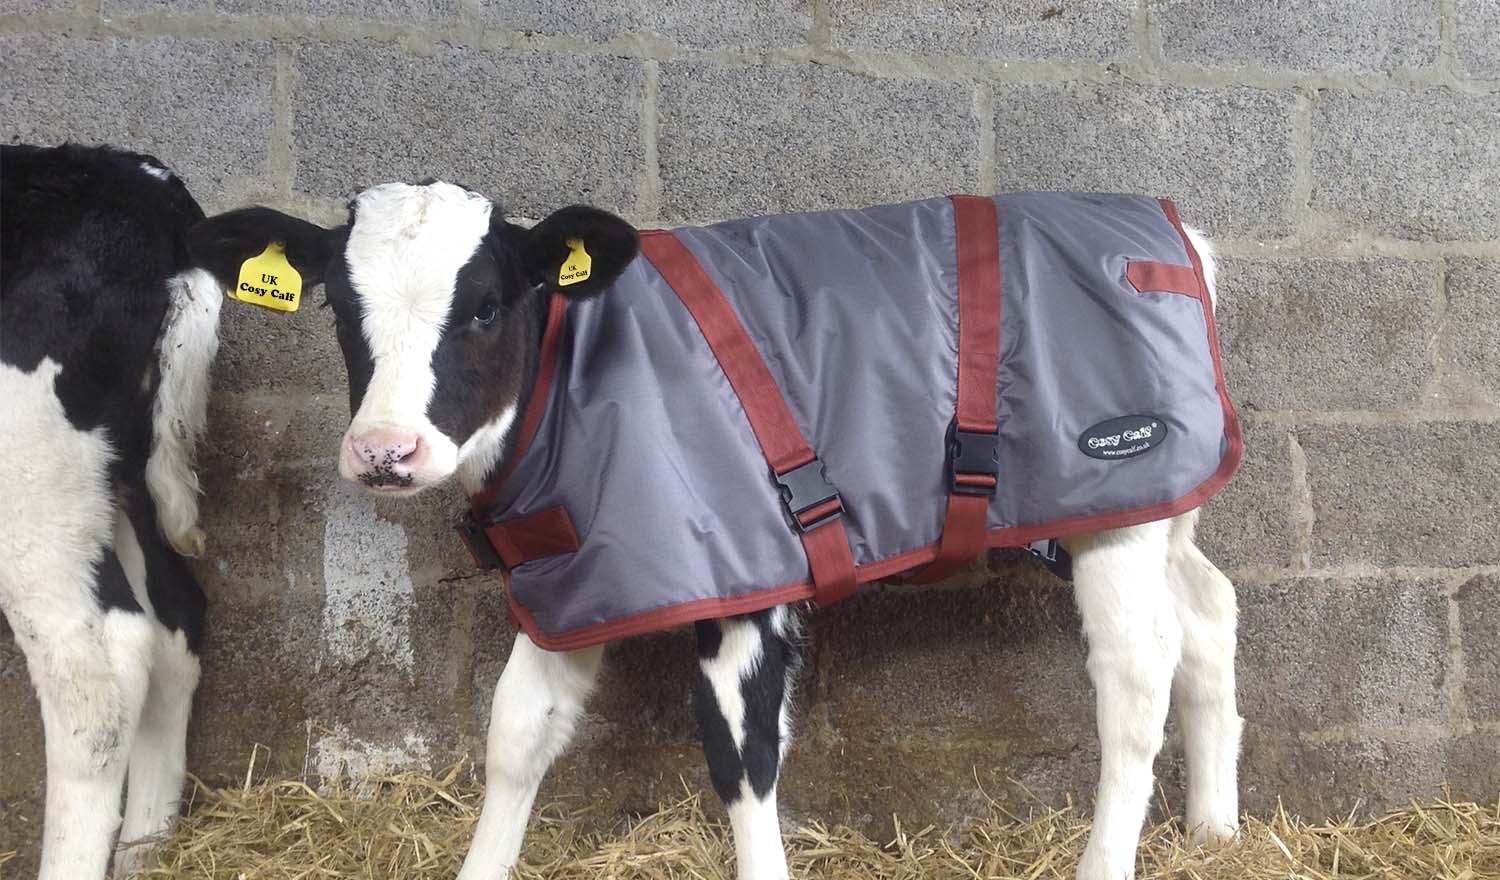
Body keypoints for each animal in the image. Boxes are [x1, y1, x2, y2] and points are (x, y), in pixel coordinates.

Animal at [189, 181, 1242, 880]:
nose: (385, 451)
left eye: (486, 306)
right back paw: (1216, 832)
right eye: (338, 305)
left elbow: (741, 756)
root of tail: (1172, 229)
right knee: (1209, 613)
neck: (573, 382)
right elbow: (515, 733)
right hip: (1157, 510)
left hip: (1120, 507)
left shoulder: (743, 579)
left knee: (1137, 675)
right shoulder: (578, 582)